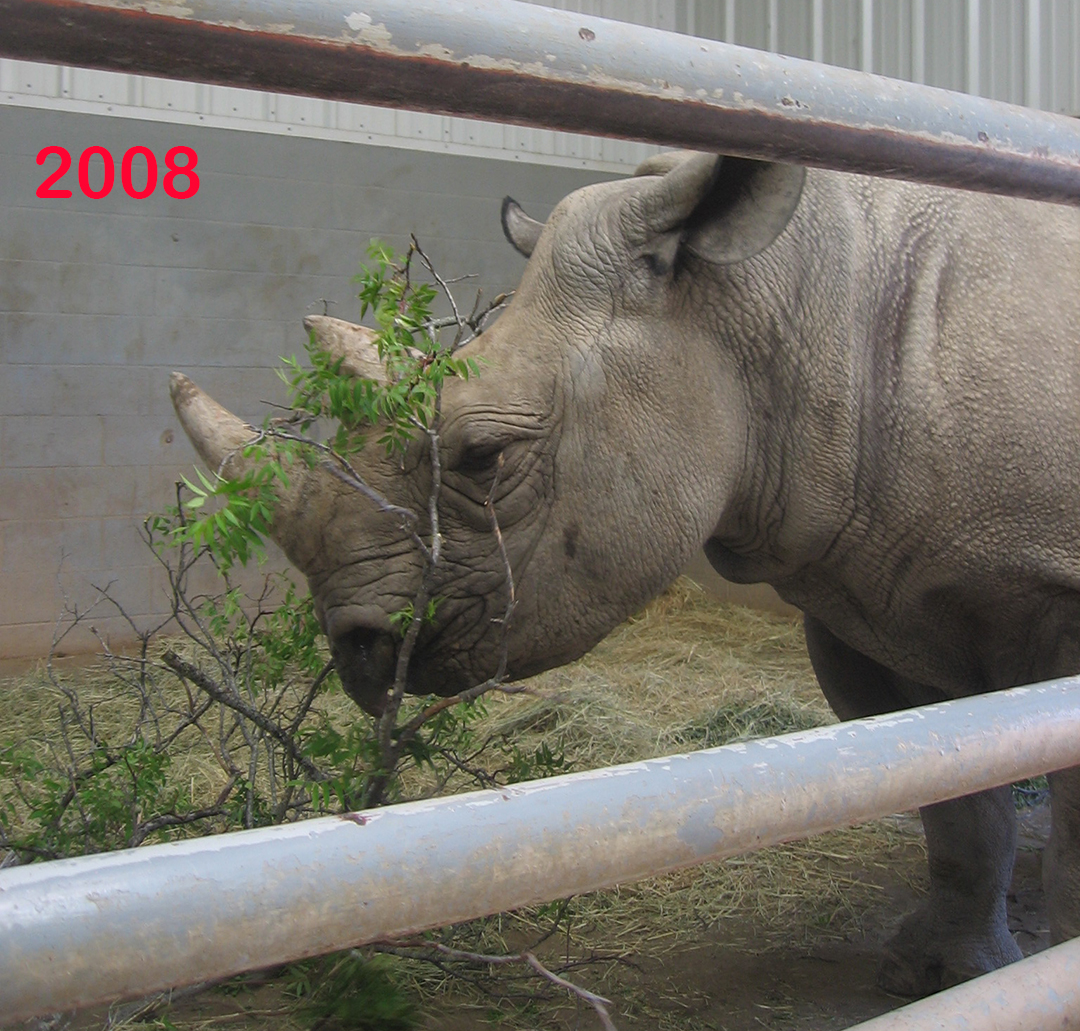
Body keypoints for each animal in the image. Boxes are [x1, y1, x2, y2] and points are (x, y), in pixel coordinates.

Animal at [171, 149, 1080, 996]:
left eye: (484, 455)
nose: (358, 649)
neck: (788, 304)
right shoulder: (859, 591)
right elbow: (954, 795)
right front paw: (935, 975)